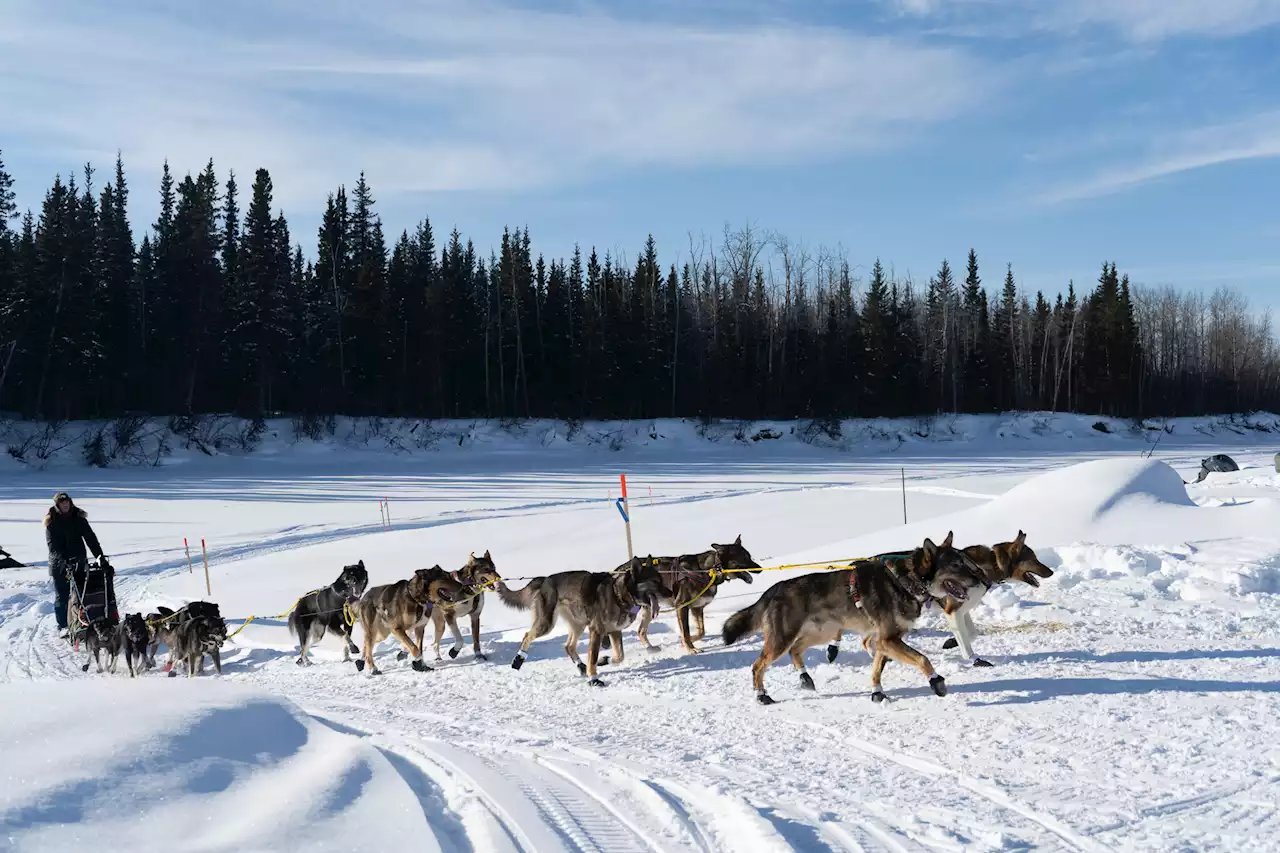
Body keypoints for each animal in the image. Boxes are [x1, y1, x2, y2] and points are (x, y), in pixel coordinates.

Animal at [496, 550, 670, 686]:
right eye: (654, 581)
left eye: (661, 580)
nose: (671, 592)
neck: (619, 594)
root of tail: (545, 579)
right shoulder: (596, 631)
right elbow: (593, 658)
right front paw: (594, 679)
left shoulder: (614, 631)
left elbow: (619, 656)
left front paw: (605, 660)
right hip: (547, 624)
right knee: (527, 635)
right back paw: (518, 659)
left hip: (578, 624)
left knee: (568, 646)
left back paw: (581, 666)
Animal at [721, 532, 988, 701]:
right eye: (956, 565)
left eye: (966, 561)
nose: (980, 580)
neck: (904, 580)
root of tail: (772, 590)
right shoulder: (888, 639)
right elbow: (922, 659)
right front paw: (936, 681)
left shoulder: (884, 640)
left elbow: (877, 668)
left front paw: (877, 692)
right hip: (782, 639)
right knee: (758, 665)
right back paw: (762, 695)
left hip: (822, 632)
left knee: (795, 650)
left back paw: (805, 678)